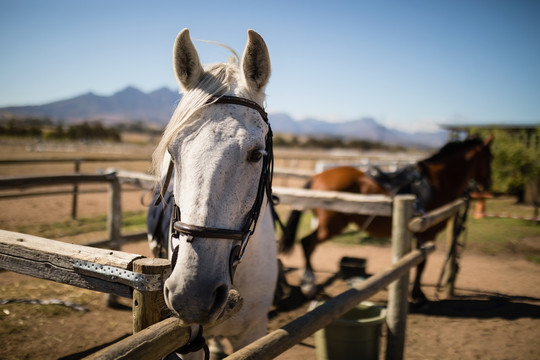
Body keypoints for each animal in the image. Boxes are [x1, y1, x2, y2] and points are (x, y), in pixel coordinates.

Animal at [280, 135, 496, 300]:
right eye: (490, 157)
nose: (489, 184)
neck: (437, 183)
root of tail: (317, 177)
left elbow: (418, 262)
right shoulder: (427, 233)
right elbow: (421, 264)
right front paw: (418, 295)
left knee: (308, 244)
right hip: (331, 226)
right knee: (307, 243)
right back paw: (310, 285)